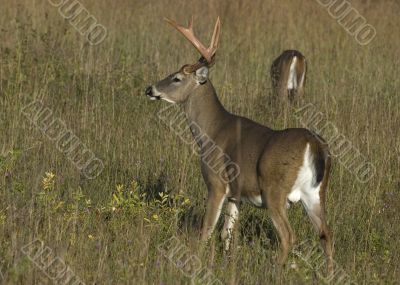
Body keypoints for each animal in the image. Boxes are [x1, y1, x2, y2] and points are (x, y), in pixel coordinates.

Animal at [145, 16, 332, 272]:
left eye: (177, 78)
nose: (150, 89)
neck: (211, 132)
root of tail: (313, 144)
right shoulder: (236, 194)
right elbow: (226, 233)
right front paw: (226, 263)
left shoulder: (216, 183)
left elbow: (206, 230)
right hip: (315, 193)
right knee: (326, 234)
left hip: (274, 190)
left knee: (288, 236)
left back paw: (275, 270)